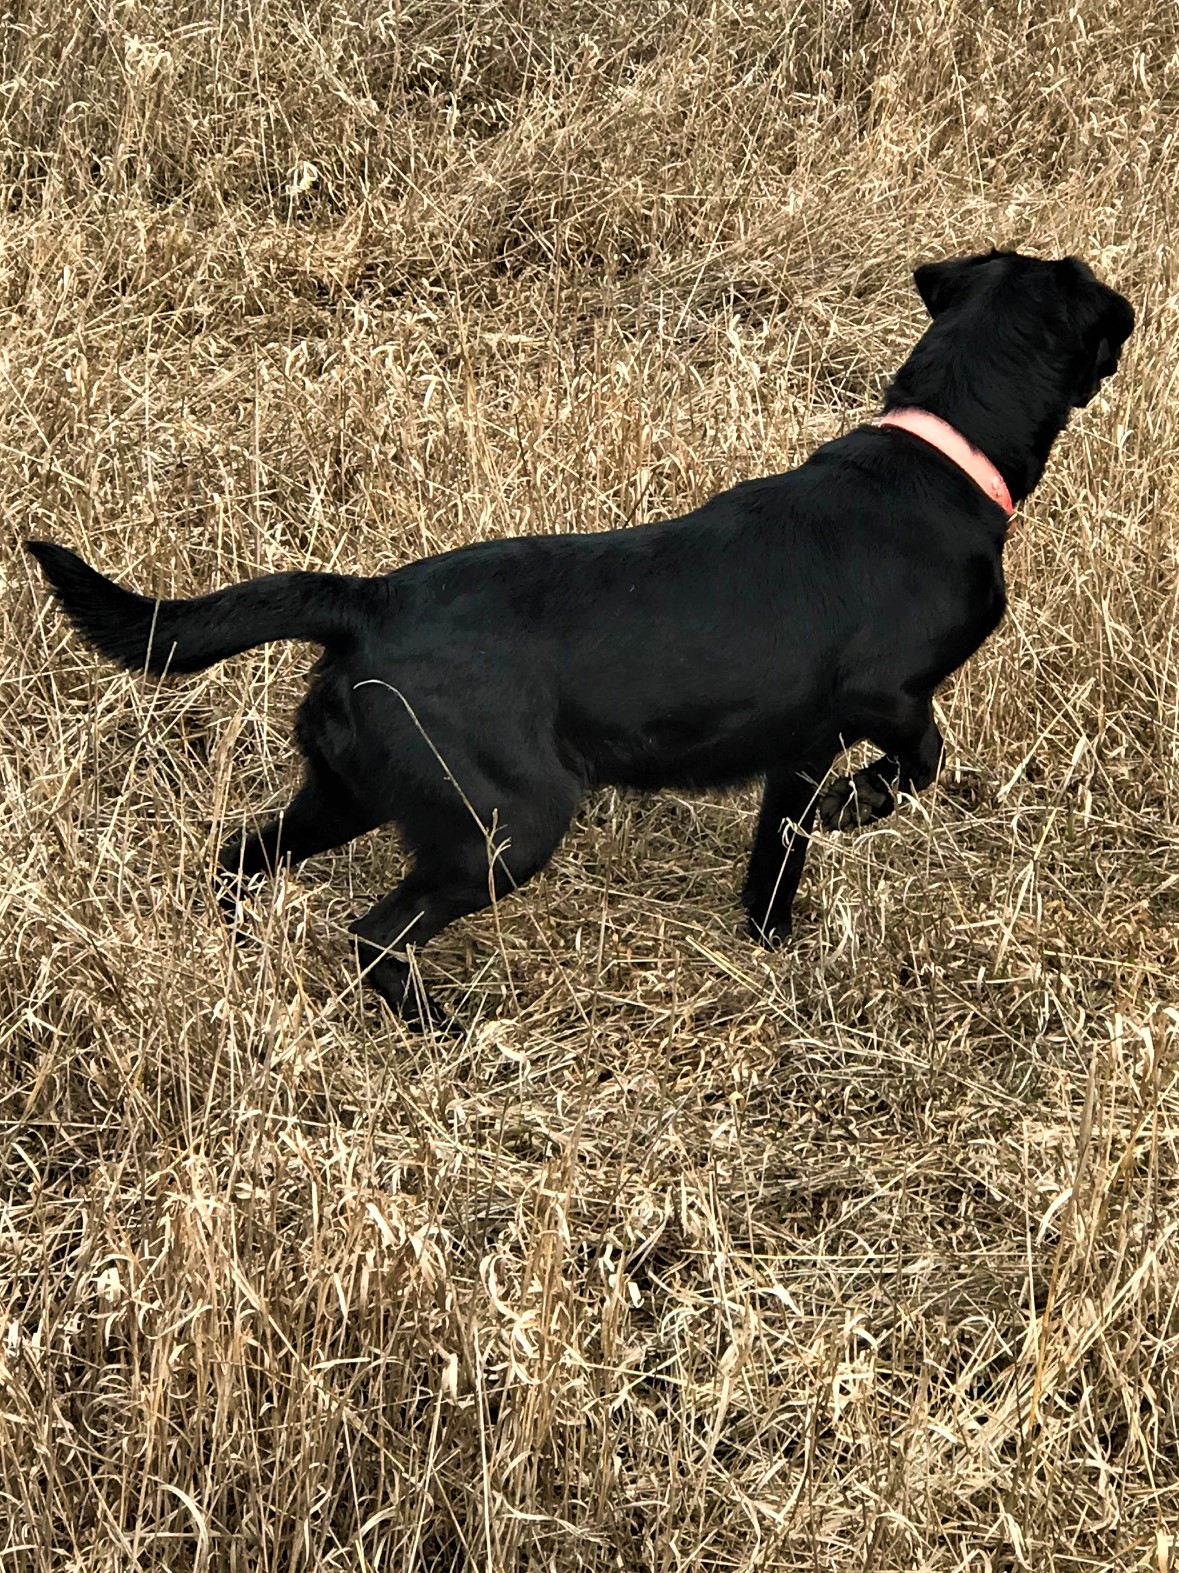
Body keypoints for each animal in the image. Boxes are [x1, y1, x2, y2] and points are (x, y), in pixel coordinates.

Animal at [27, 250, 1138, 1025]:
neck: (941, 455)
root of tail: (371, 599)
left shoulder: (796, 749)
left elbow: (774, 859)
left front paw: (771, 944)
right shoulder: (884, 695)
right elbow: (923, 756)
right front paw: (862, 808)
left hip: (346, 792)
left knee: (237, 858)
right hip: (507, 824)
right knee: (377, 933)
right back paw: (446, 1030)